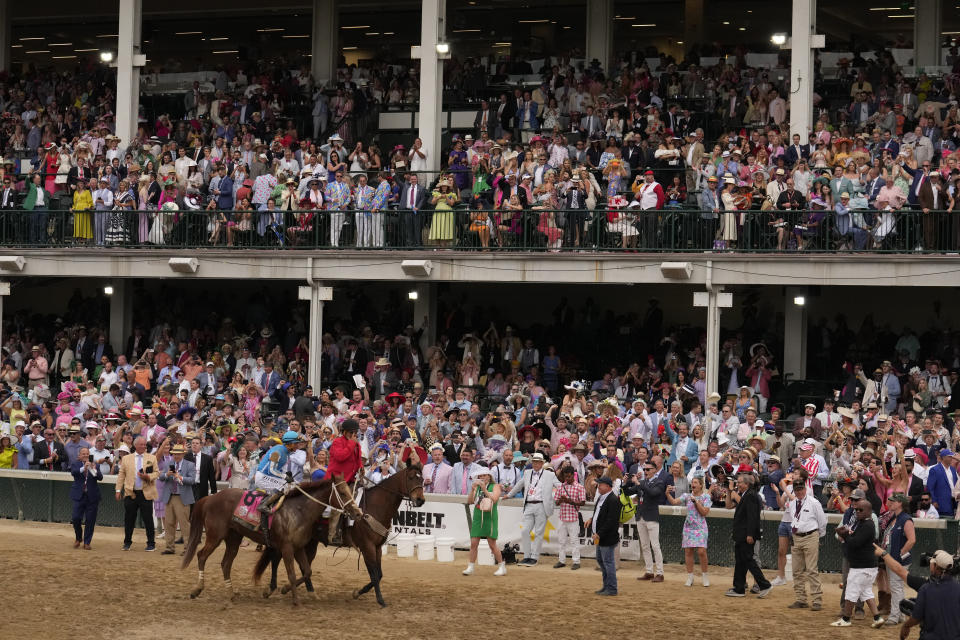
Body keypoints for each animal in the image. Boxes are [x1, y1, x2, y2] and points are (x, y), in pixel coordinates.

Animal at [180, 480, 348, 604]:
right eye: (343, 493)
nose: (352, 510)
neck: (298, 510)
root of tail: (210, 498)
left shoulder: (298, 546)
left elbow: (306, 571)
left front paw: (286, 590)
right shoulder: (287, 547)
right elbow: (292, 573)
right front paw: (294, 599)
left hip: (233, 538)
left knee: (226, 563)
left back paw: (231, 593)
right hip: (215, 535)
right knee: (202, 556)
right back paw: (197, 589)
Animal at [255, 462, 424, 608]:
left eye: (422, 478)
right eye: (411, 478)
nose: (420, 500)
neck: (375, 506)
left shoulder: (377, 547)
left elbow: (379, 574)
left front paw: (358, 593)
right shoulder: (367, 547)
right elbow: (375, 575)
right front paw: (380, 600)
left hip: (308, 542)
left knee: (302, 567)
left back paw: (306, 591)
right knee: (277, 559)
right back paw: (273, 589)